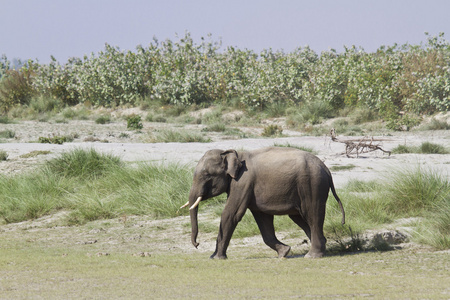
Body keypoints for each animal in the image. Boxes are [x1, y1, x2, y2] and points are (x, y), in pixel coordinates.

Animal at [181, 146, 346, 258]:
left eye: (206, 175)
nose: (197, 245)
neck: (233, 153)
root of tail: (326, 169)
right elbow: (263, 218)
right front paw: (284, 252)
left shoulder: (242, 182)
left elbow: (231, 214)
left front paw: (215, 258)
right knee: (300, 217)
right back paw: (321, 250)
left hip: (312, 185)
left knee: (312, 214)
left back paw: (312, 255)